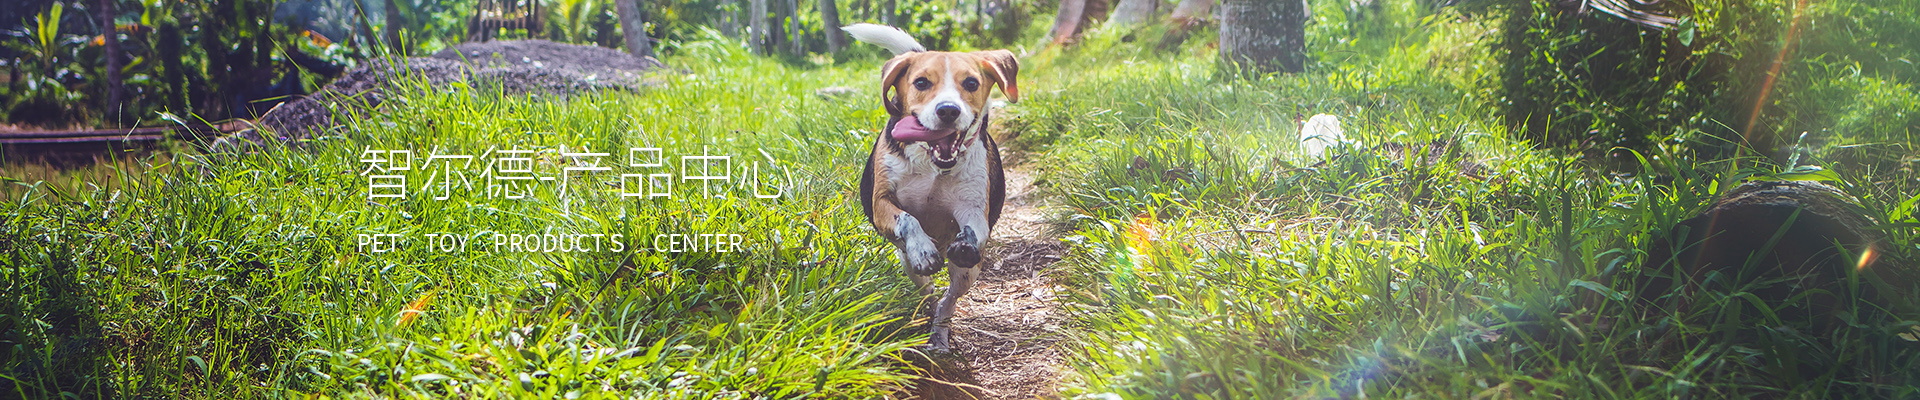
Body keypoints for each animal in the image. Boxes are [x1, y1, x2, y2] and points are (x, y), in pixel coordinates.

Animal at [844, 24, 1021, 350]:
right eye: (921, 82)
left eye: (971, 82)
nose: (948, 110)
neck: (933, 163)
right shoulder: (881, 203)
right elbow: (908, 219)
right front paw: (923, 250)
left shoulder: (973, 207)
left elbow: (974, 228)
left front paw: (965, 241)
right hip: (906, 264)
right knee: (926, 290)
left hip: (968, 273)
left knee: (949, 299)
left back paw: (939, 333)